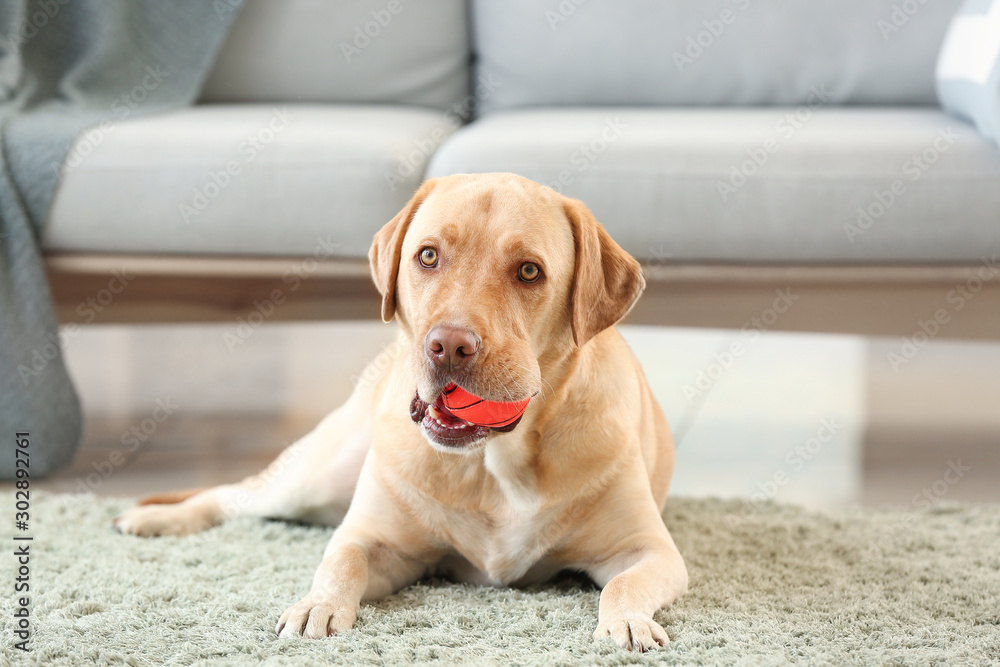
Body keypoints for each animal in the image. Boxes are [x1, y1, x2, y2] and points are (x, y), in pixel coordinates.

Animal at [111, 172, 688, 652]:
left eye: (529, 271)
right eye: (428, 256)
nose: (449, 345)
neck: (495, 461)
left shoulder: (651, 551)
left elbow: (623, 584)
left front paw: (629, 622)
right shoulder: (379, 542)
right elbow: (341, 560)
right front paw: (317, 605)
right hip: (313, 479)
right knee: (230, 496)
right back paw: (157, 517)